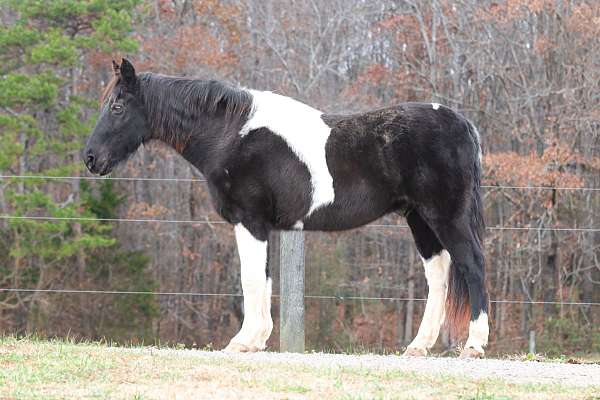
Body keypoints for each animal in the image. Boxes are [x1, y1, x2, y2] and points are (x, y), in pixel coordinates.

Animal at [83, 57, 488, 358]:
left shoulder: (249, 220)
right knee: (438, 276)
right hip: (420, 220)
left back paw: (474, 345)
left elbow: (250, 279)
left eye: (117, 107)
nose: (90, 158)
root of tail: (462, 123)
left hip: (445, 217)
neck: (231, 134)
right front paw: (257, 340)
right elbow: (262, 279)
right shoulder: (260, 226)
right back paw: (418, 346)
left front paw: (242, 342)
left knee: (472, 266)